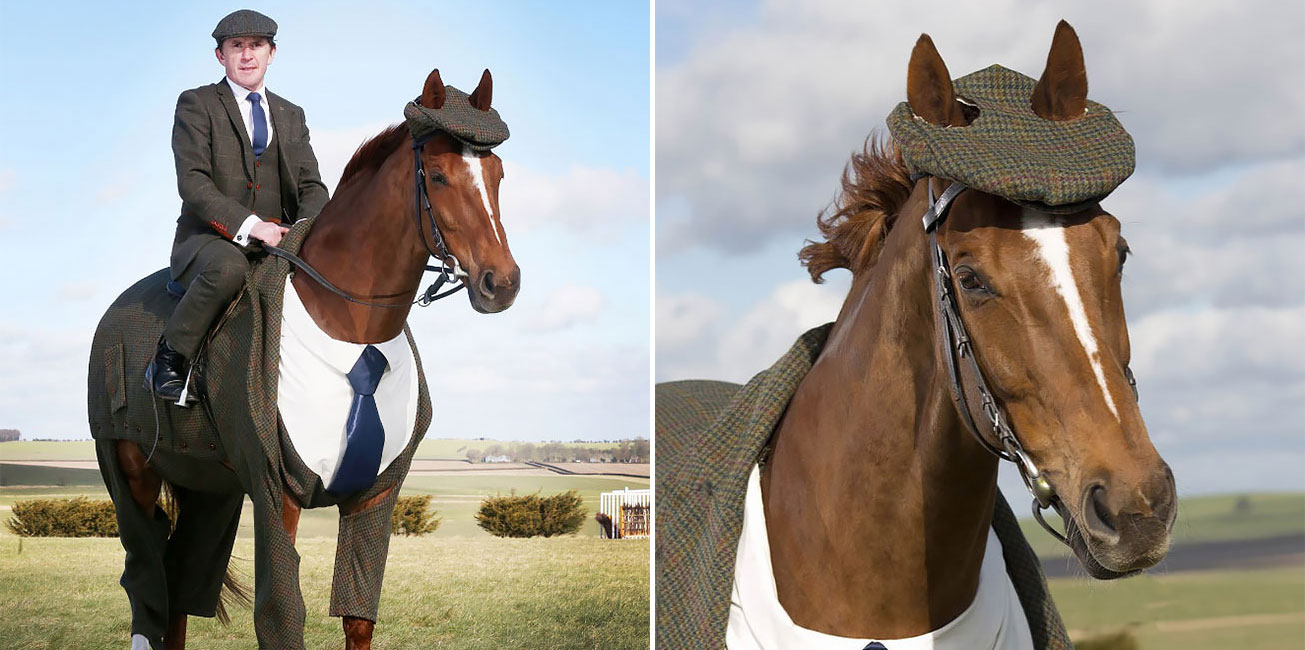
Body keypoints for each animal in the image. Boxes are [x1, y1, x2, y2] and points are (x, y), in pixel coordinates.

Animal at [87, 68, 518, 650]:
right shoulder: (276, 491)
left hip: (208, 488)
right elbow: (281, 614)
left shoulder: (374, 497)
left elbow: (358, 614)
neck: (350, 329)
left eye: (496, 173)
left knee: (179, 585)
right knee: (147, 584)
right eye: (438, 174)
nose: (503, 283)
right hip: (127, 470)